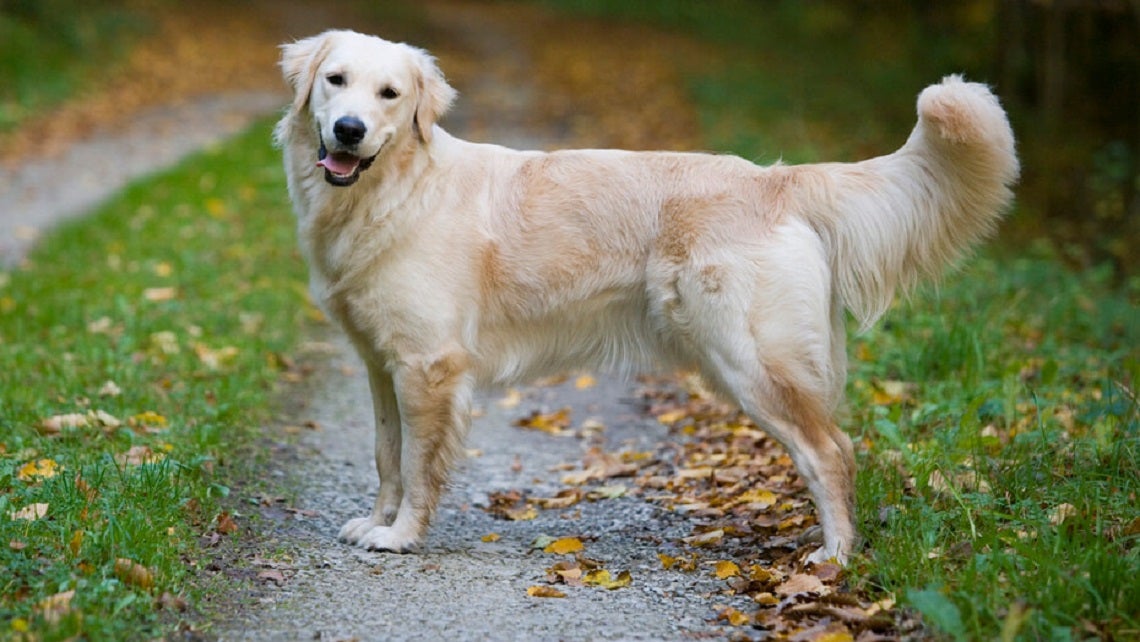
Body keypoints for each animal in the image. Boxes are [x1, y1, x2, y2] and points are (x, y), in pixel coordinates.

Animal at [273, 30, 1016, 565]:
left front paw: (401, 537)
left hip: (751, 362)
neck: (395, 189)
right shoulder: (382, 365)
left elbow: (420, 466)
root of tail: (778, 179)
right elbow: (386, 456)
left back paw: (834, 558)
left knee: (830, 451)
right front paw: (376, 521)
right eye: (336, 81)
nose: (347, 130)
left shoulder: (429, 367)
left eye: (390, 94)